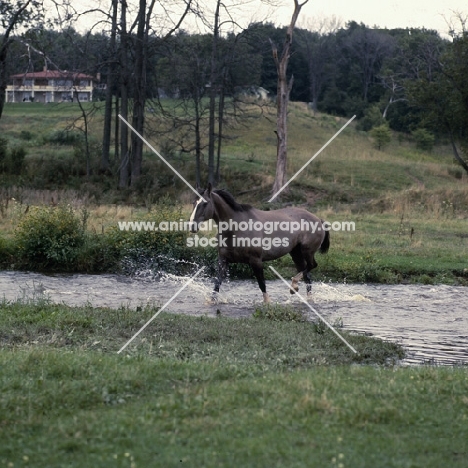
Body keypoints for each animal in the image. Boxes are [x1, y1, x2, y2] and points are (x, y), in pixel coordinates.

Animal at [189, 185, 330, 302]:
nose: (192, 226)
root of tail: (319, 220)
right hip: (295, 253)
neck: (237, 227)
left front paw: (267, 303)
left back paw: (293, 286)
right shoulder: (223, 260)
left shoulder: (256, 261)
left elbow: (261, 283)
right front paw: (211, 302)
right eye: (194, 202)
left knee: (311, 266)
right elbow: (217, 283)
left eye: (205, 203)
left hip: (307, 251)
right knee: (306, 276)